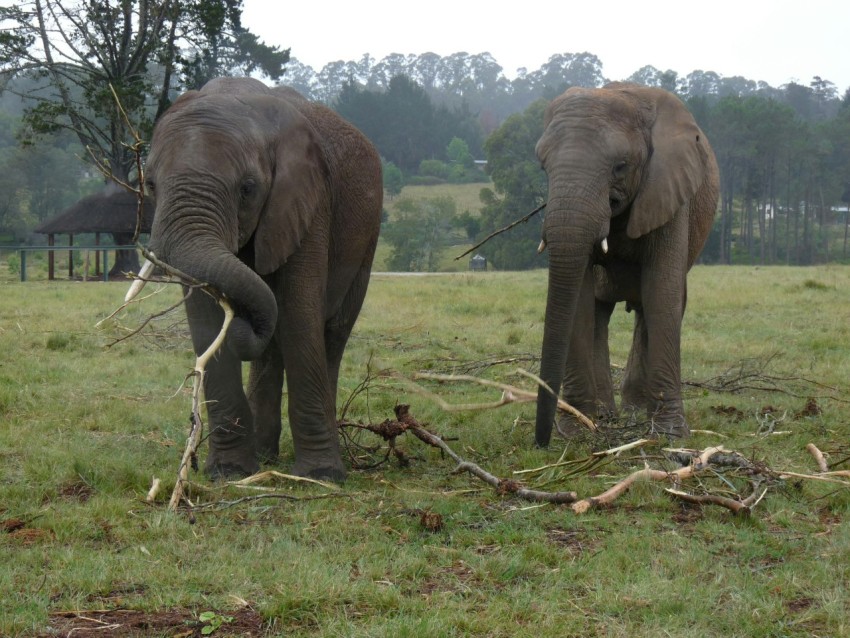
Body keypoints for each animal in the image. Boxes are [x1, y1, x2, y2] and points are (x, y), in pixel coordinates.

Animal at [138, 77, 380, 482]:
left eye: (247, 188)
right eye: (151, 185)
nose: (241, 317)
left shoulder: (309, 200)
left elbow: (298, 313)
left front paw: (321, 475)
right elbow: (207, 321)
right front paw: (229, 472)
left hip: (368, 238)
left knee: (332, 332)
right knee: (272, 346)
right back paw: (265, 456)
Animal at [532, 82, 720, 448]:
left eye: (620, 165)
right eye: (543, 167)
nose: (541, 442)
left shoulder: (669, 190)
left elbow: (662, 293)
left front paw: (670, 436)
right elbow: (580, 299)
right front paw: (576, 431)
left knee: (652, 305)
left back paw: (634, 413)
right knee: (599, 311)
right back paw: (606, 416)